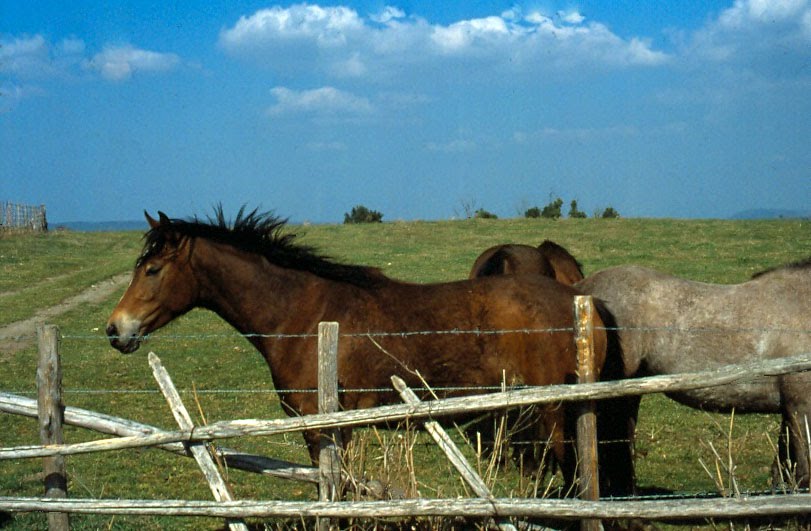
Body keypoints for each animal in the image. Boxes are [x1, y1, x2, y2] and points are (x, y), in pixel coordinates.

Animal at [109, 208, 616, 494]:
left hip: (551, 415)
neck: (302, 312)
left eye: (152, 269)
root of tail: (580, 301)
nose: (116, 329)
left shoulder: (323, 429)